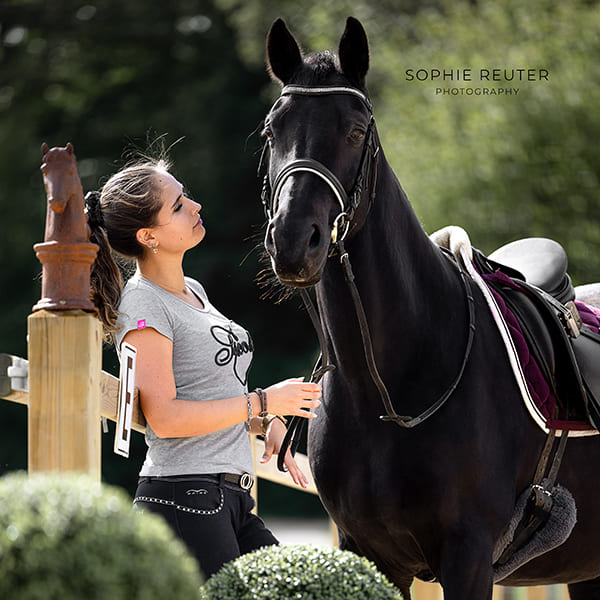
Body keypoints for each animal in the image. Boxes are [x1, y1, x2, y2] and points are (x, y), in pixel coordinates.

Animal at [264, 16, 600, 596]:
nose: (292, 241)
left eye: (356, 131)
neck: (385, 393)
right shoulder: (368, 555)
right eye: (271, 131)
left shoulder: (467, 556)